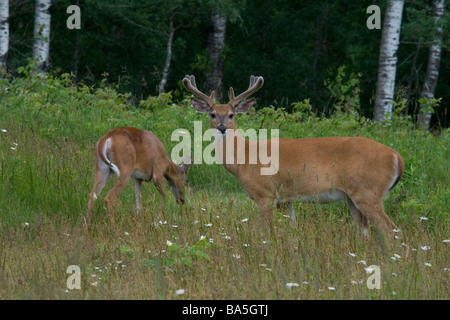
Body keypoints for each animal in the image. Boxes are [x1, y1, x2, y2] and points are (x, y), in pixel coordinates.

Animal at [183, 75, 404, 238]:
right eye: (212, 114)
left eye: (231, 114)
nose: (222, 128)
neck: (244, 159)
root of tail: (397, 157)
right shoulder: (285, 200)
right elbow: (292, 229)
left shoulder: (265, 193)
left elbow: (264, 232)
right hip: (353, 197)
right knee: (365, 232)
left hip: (368, 191)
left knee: (391, 230)